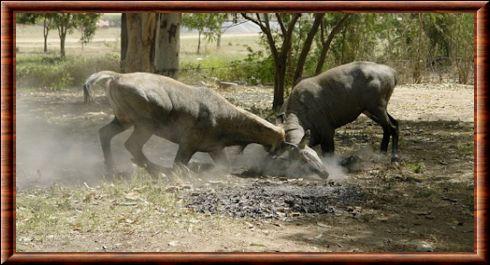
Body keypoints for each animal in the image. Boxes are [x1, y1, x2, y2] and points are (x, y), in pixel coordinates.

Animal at [83, 71, 330, 176]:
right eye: (303, 157)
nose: (325, 173)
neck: (225, 117)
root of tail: (115, 77)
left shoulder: (214, 149)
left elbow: (224, 166)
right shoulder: (187, 145)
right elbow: (179, 164)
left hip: (122, 121)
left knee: (104, 134)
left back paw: (112, 167)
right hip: (145, 125)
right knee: (132, 146)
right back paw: (154, 169)